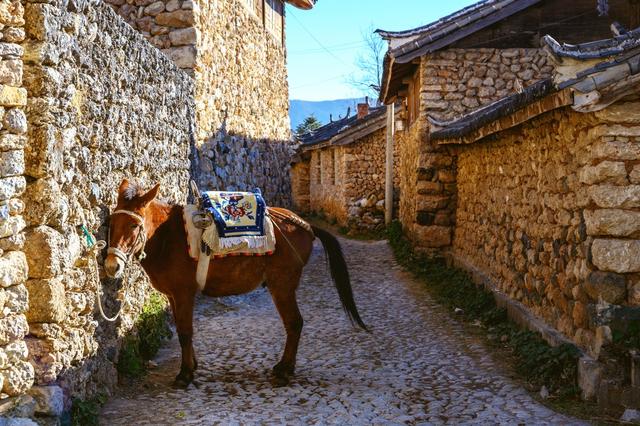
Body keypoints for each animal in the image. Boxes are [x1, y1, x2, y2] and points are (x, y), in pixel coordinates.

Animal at [103, 180, 368, 390]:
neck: (167, 237)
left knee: (294, 323)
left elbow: (186, 332)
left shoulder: (184, 294)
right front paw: (192, 365)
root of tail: (305, 225)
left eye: (134, 226)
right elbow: (181, 330)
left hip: (282, 286)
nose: (111, 266)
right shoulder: (173, 297)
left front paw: (185, 374)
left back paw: (284, 371)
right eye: (110, 223)